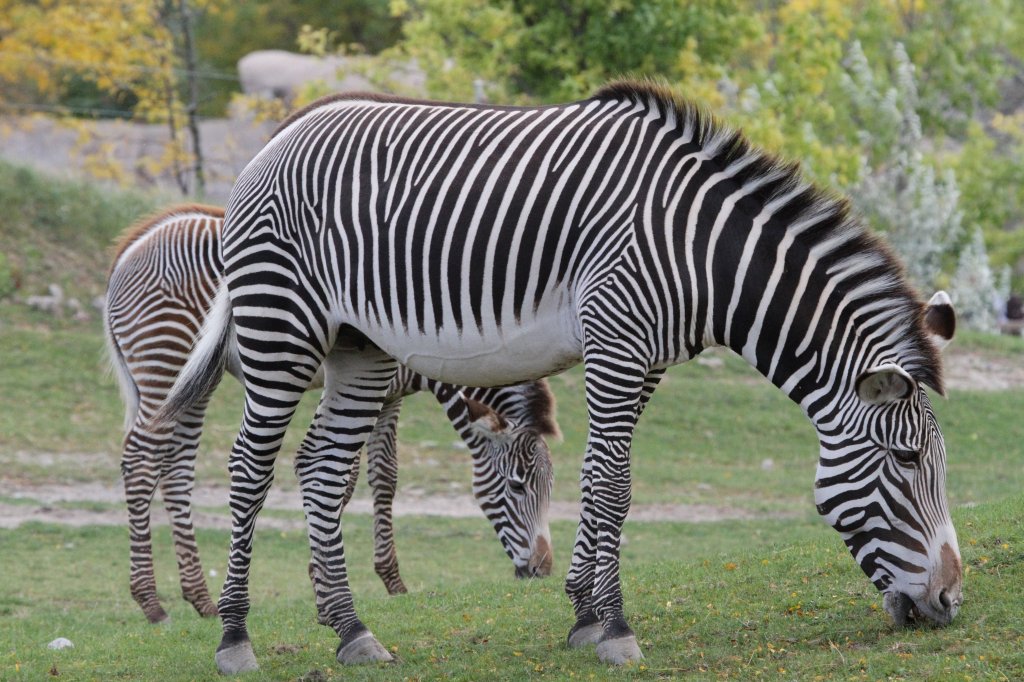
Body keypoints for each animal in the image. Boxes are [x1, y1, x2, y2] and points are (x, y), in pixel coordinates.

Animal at [103, 202, 561, 622]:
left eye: (551, 489)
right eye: (517, 486)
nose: (543, 572)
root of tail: (132, 246)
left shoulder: (389, 396)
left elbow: (384, 477)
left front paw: (391, 582)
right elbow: (346, 477)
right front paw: (322, 578)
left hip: (197, 380)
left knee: (176, 470)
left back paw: (200, 598)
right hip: (165, 359)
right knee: (141, 463)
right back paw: (150, 602)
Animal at [157, 80, 958, 667]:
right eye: (906, 458)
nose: (951, 605)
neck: (699, 249)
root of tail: (280, 133)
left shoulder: (644, 360)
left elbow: (605, 482)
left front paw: (585, 614)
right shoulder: (616, 342)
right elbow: (615, 485)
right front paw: (618, 630)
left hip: (359, 347)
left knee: (322, 469)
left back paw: (352, 631)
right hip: (280, 326)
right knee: (248, 468)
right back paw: (235, 637)